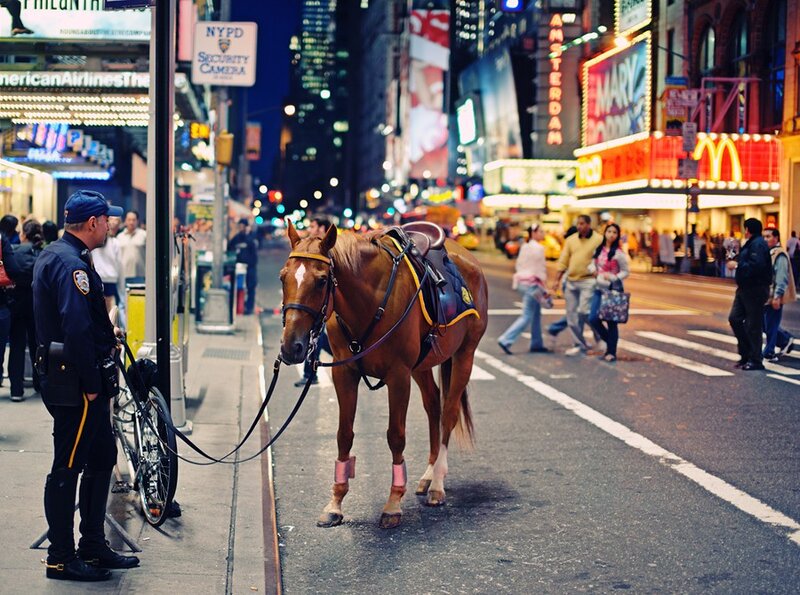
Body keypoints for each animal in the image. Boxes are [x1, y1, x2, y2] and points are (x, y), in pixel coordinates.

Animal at [279, 221, 489, 529]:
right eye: (283, 278)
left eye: (321, 281)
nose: (291, 346)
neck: (369, 303)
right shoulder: (345, 373)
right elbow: (344, 435)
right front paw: (336, 502)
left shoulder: (398, 376)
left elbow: (396, 436)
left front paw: (393, 503)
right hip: (423, 365)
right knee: (433, 405)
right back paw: (428, 475)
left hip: (465, 354)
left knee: (448, 413)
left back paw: (437, 483)